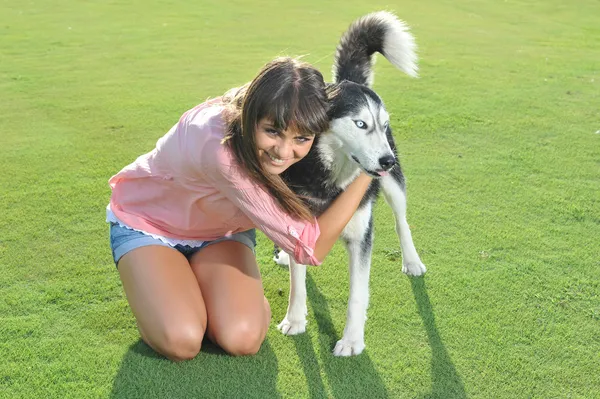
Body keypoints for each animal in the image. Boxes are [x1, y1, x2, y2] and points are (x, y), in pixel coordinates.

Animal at [274, 11, 426, 356]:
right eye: (360, 124)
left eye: (382, 126)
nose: (387, 160)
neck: (330, 180)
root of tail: (348, 81)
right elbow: (297, 284)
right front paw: (295, 320)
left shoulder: (360, 237)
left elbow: (358, 294)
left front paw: (352, 340)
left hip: (394, 187)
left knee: (402, 222)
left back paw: (412, 260)